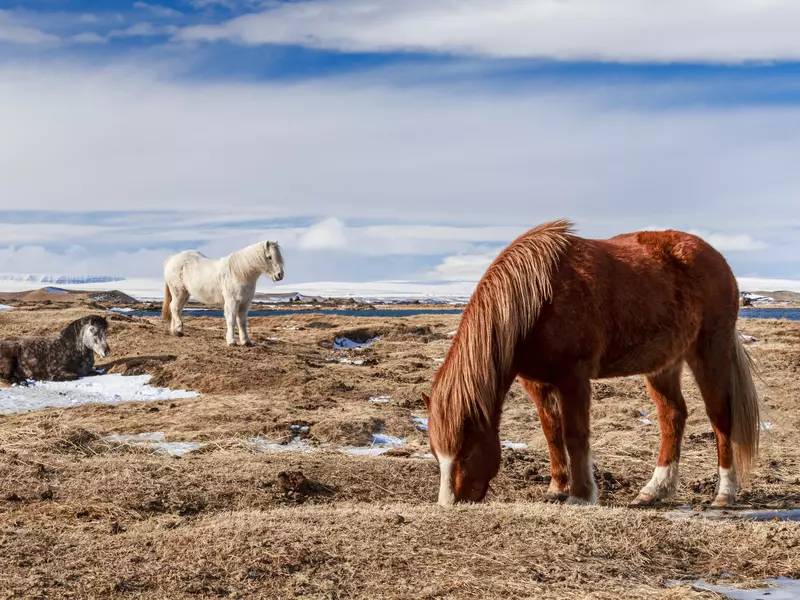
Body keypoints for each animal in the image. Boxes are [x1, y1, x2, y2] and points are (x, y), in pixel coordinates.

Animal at [422, 220, 760, 509]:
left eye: (466, 451)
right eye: (436, 453)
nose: (449, 504)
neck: (537, 299)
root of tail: (716, 257)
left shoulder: (574, 377)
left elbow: (574, 435)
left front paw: (581, 495)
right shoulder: (535, 382)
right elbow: (552, 432)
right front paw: (556, 489)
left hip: (709, 352)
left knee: (720, 417)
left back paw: (724, 493)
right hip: (663, 365)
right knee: (672, 417)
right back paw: (654, 490)